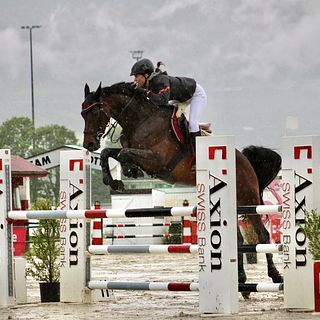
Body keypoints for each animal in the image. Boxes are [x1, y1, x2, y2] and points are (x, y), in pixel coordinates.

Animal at [80, 81, 282, 294]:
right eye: (83, 114)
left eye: (94, 112)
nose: (89, 144)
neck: (140, 120)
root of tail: (247, 162)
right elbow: (108, 152)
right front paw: (115, 180)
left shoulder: (156, 159)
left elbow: (124, 153)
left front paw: (128, 171)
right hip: (230, 204)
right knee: (238, 239)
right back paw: (242, 282)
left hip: (249, 200)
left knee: (262, 234)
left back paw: (275, 276)